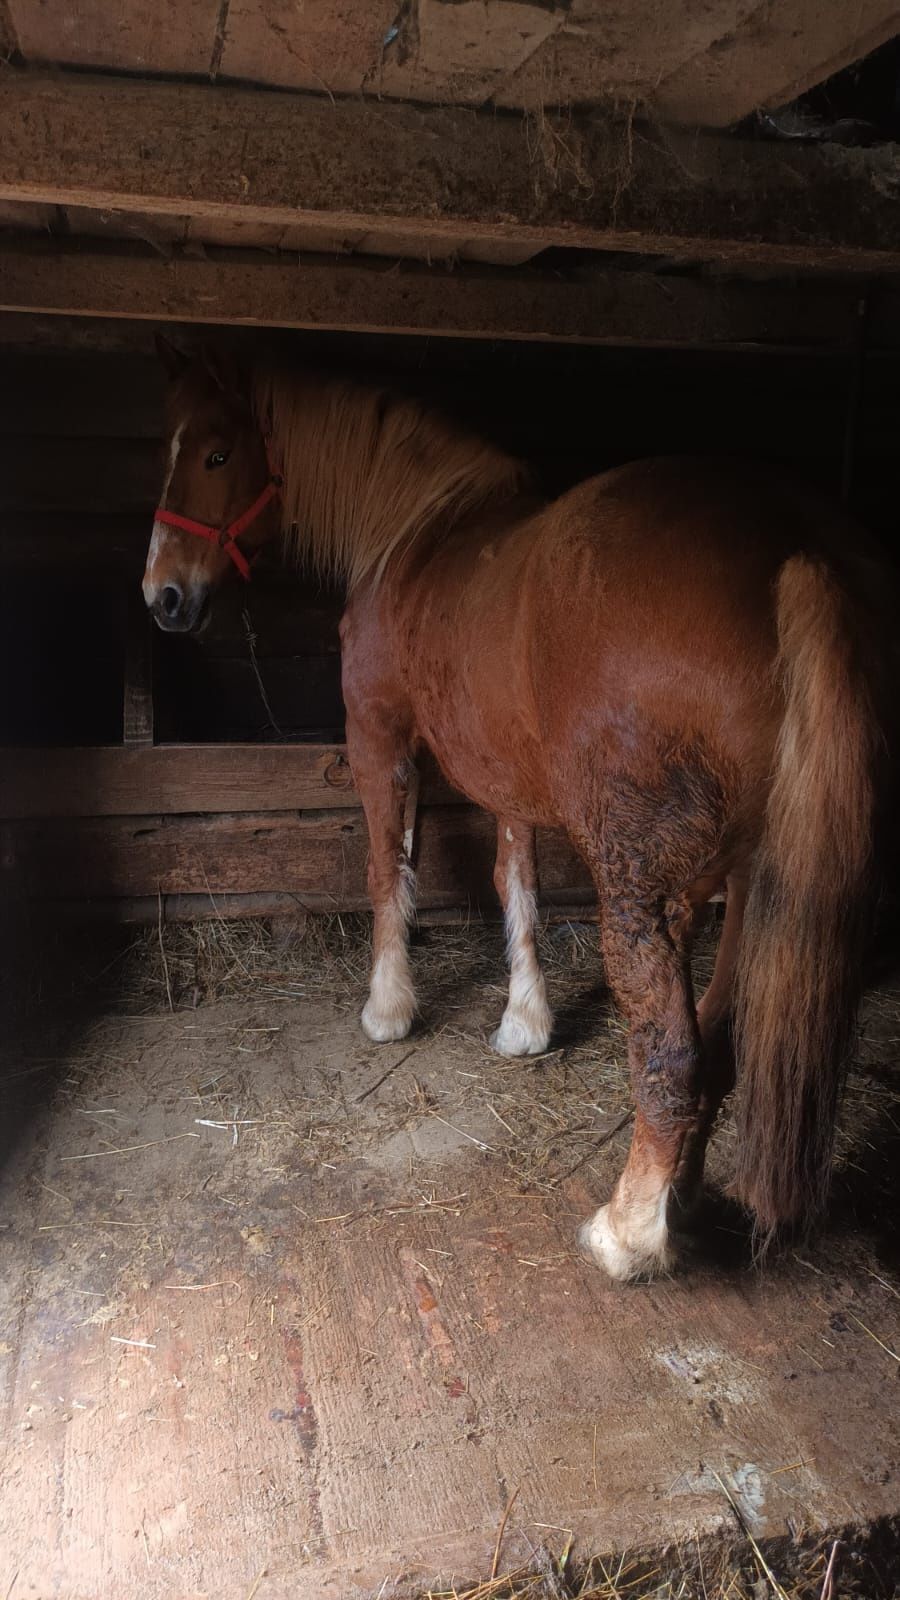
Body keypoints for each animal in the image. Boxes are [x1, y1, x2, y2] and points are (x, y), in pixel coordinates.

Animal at [143, 344, 883, 1280]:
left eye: (214, 454)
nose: (162, 596)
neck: (414, 538)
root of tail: (798, 553)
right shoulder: (504, 770)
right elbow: (514, 880)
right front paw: (526, 1021)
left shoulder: (376, 733)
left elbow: (388, 865)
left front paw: (389, 1007)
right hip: (756, 884)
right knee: (719, 1047)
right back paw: (680, 1203)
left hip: (640, 881)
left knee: (672, 1052)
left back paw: (628, 1232)